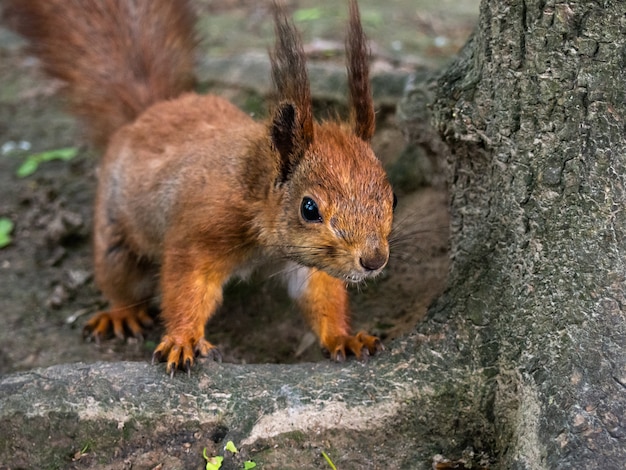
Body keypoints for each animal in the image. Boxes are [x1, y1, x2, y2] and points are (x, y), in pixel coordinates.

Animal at [4, 0, 392, 374]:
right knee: (119, 277)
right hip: (114, 232)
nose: (374, 260)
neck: (252, 186)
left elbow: (319, 294)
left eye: (393, 197)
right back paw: (121, 313)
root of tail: (151, 111)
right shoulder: (199, 234)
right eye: (309, 208)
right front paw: (183, 340)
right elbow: (186, 287)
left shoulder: (305, 261)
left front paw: (344, 337)